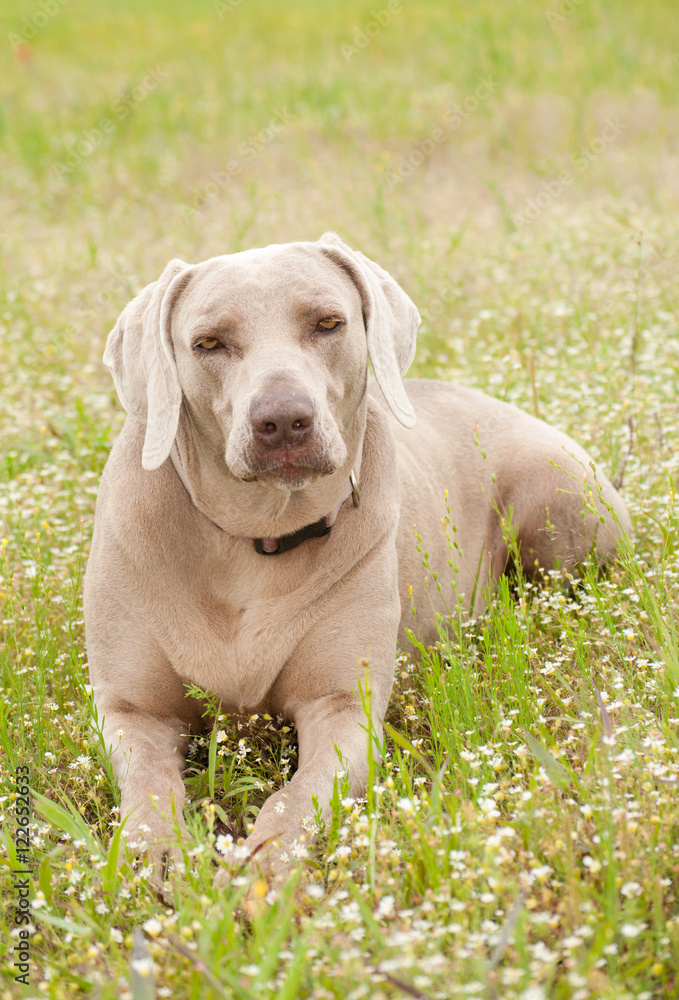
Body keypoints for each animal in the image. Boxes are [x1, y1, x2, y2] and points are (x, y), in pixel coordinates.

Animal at [85, 232, 632, 876]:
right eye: (208, 343)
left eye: (328, 323)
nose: (283, 420)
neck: (258, 536)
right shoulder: (131, 712)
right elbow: (148, 784)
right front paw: (155, 853)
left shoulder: (344, 708)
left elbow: (297, 795)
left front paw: (267, 863)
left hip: (560, 497)